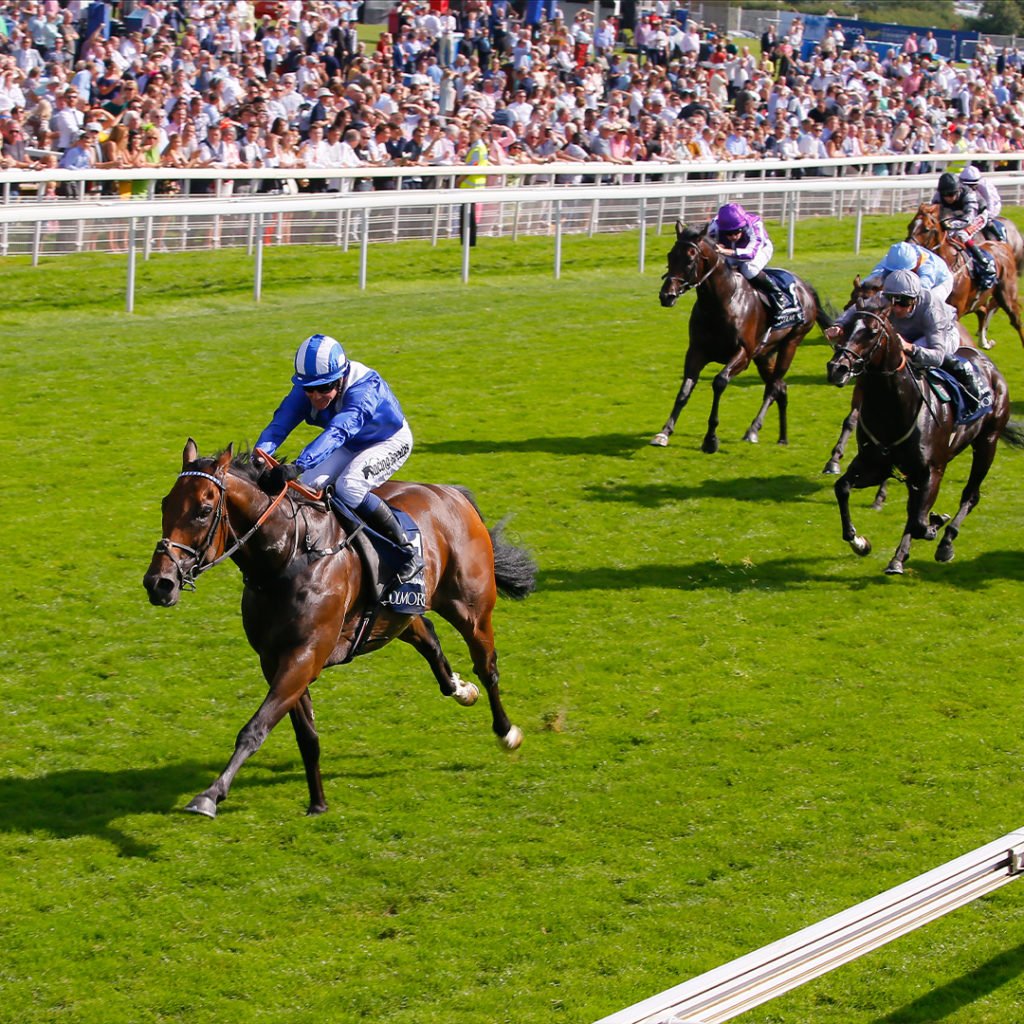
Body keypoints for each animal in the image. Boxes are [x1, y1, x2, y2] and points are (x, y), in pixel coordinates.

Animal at [148, 438, 540, 815]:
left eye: (203, 511)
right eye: (166, 503)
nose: (158, 583)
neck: (289, 555)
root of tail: (452, 494)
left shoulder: (304, 656)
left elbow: (255, 728)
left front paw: (209, 795)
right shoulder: (274, 660)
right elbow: (306, 736)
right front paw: (317, 803)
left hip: (470, 609)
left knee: (487, 666)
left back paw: (506, 731)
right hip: (397, 612)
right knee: (427, 635)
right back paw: (460, 688)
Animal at [651, 220, 835, 452]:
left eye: (691, 258)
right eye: (670, 255)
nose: (667, 296)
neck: (721, 302)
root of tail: (805, 287)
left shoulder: (743, 354)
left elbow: (719, 382)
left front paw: (711, 439)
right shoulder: (696, 351)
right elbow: (684, 391)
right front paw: (664, 433)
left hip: (791, 343)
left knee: (773, 387)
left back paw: (753, 430)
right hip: (764, 354)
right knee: (781, 387)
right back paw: (782, 438)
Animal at [827, 301, 1019, 577]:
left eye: (872, 332)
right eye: (847, 326)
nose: (837, 368)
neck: (893, 408)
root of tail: (988, 364)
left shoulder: (932, 470)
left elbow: (920, 521)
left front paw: (935, 524)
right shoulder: (875, 464)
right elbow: (842, 488)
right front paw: (859, 542)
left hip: (987, 442)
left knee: (970, 496)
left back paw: (946, 543)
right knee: (914, 507)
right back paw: (898, 559)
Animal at [905, 201, 1024, 350]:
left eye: (926, 229)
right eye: (910, 226)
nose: (907, 249)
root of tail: (1003, 245)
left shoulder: (955, 310)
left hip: (1007, 294)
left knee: (1015, 319)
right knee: (984, 310)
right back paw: (984, 341)